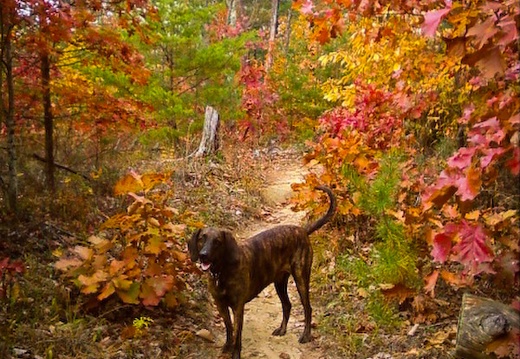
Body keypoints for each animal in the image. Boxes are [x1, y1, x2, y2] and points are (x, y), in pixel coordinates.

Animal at [189, 187, 336, 358]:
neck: (222, 272)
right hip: (279, 282)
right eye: (202, 238)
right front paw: (227, 347)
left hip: (301, 277)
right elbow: (229, 329)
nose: (203, 255)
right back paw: (282, 329)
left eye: (217, 242)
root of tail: (302, 230)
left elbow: (237, 334)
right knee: (287, 305)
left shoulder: (238, 307)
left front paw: (235, 353)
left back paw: (306, 335)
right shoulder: (221, 305)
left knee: (307, 307)